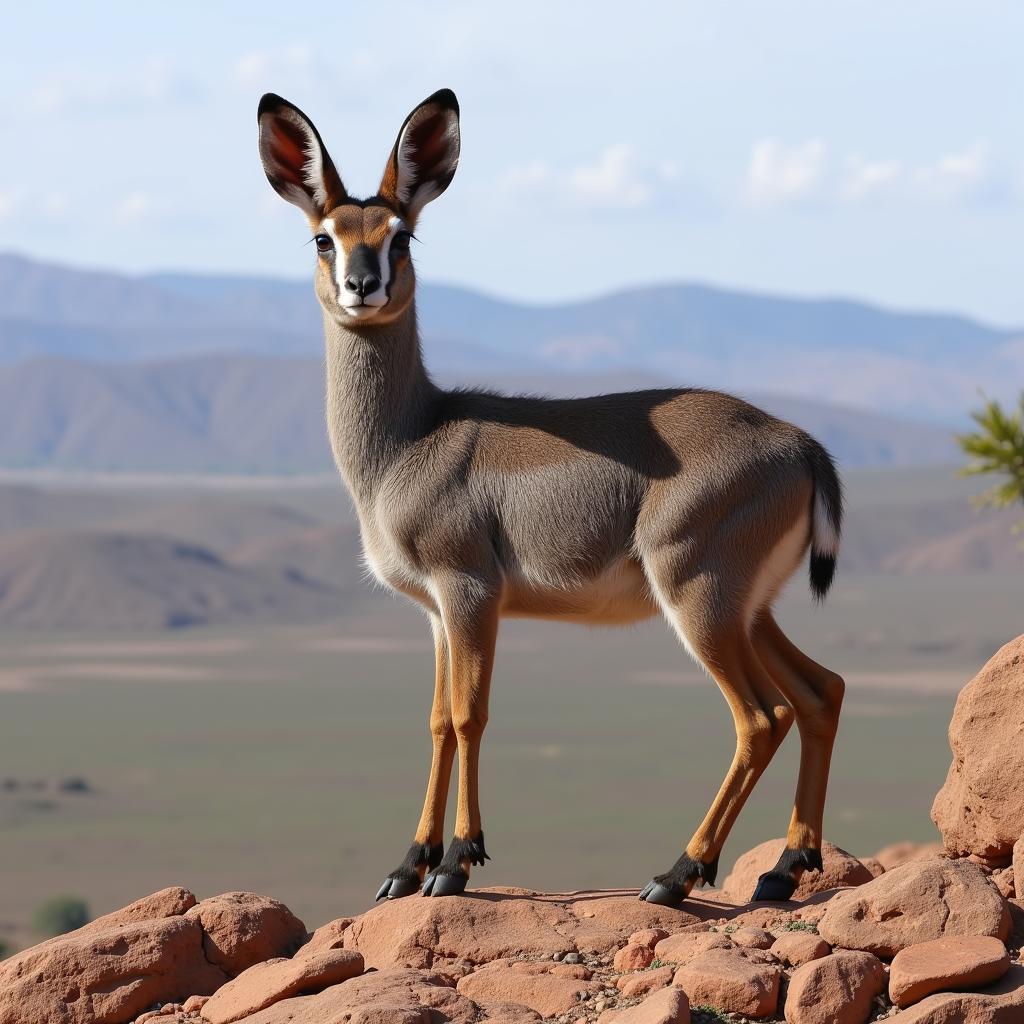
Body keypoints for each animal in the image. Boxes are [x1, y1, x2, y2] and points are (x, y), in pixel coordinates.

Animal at [258, 88, 847, 905]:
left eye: (401, 237)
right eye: (325, 237)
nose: (361, 286)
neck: (410, 440)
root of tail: (799, 443)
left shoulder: (470, 592)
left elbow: (471, 715)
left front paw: (456, 860)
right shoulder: (435, 612)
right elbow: (437, 719)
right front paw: (407, 864)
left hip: (699, 600)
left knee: (764, 716)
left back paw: (676, 873)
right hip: (750, 610)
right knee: (822, 692)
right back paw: (782, 871)